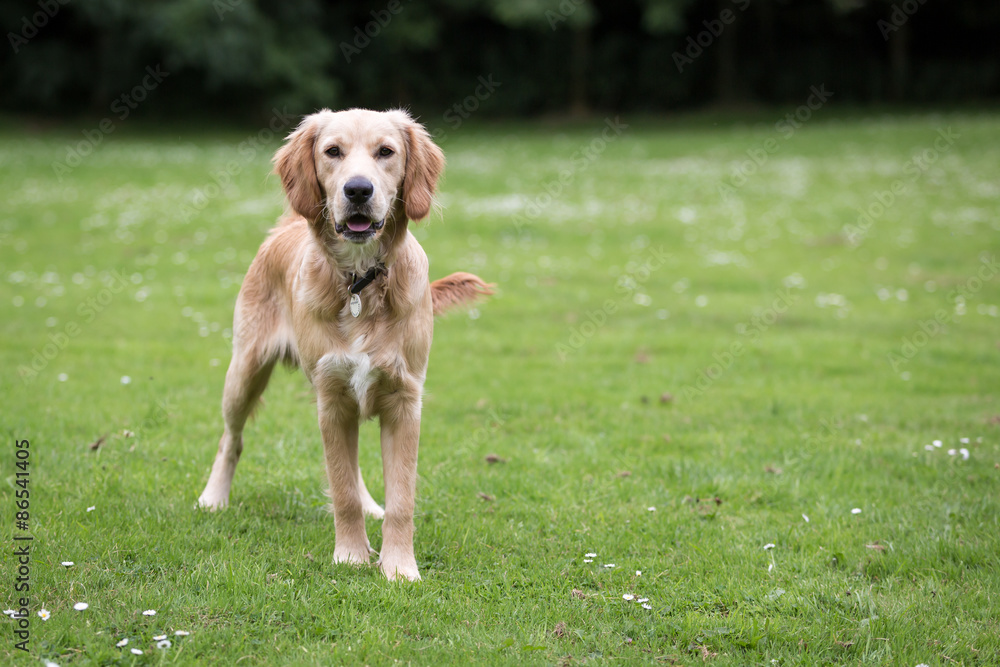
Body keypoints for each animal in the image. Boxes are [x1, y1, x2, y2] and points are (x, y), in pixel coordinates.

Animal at [198, 108, 492, 580]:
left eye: (386, 152)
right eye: (332, 151)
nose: (357, 189)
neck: (360, 281)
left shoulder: (404, 400)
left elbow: (400, 499)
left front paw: (399, 567)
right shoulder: (332, 399)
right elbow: (342, 490)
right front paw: (352, 556)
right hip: (244, 370)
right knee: (232, 438)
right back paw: (213, 497)